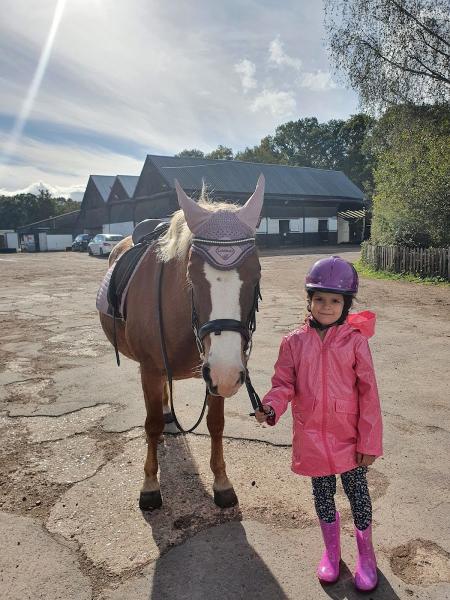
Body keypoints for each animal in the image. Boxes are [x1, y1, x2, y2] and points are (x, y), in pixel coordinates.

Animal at [98, 175, 264, 510]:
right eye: (192, 276)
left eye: (256, 275)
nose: (228, 373)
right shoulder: (153, 369)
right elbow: (149, 425)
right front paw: (149, 485)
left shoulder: (214, 375)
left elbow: (216, 424)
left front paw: (222, 482)